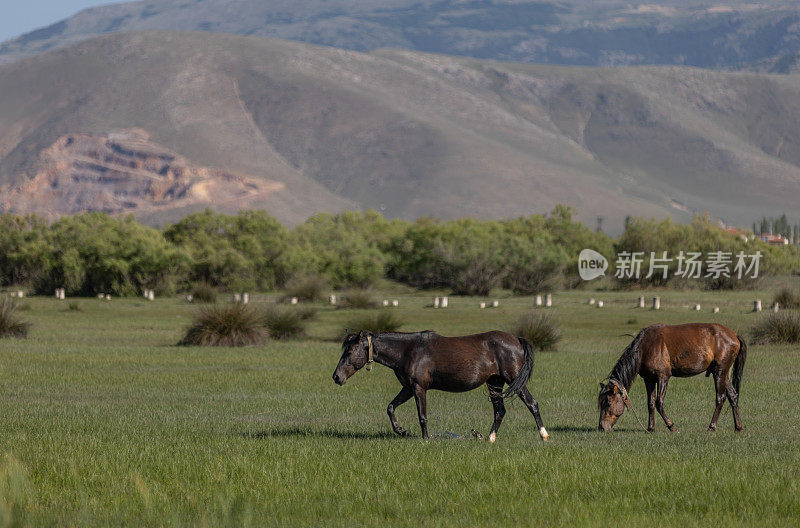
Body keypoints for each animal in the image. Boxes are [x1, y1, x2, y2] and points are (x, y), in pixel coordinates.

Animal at [332, 330, 552, 442]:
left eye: (350, 351)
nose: (336, 377)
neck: (408, 350)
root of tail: (517, 339)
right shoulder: (408, 388)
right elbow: (391, 407)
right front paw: (402, 431)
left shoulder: (418, 388)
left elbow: (422, 416)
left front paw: (425, 439)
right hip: (494, 383)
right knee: (500, 411)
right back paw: (489, 438)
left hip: (513, 381)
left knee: (532, 404)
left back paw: (544, 435)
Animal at [596, 322, 748, 434]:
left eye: (608, 403)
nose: (601, 427)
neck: (645, 347)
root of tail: (734, 335)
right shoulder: (649, 379)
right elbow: (650, 403)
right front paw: (650, 428)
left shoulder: (663, 377)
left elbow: (659, 402)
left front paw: (671, 426)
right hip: (723, 374)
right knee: (733, 396)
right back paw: (738, 427)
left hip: (719, 372)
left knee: (720, 398)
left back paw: (712, 427)